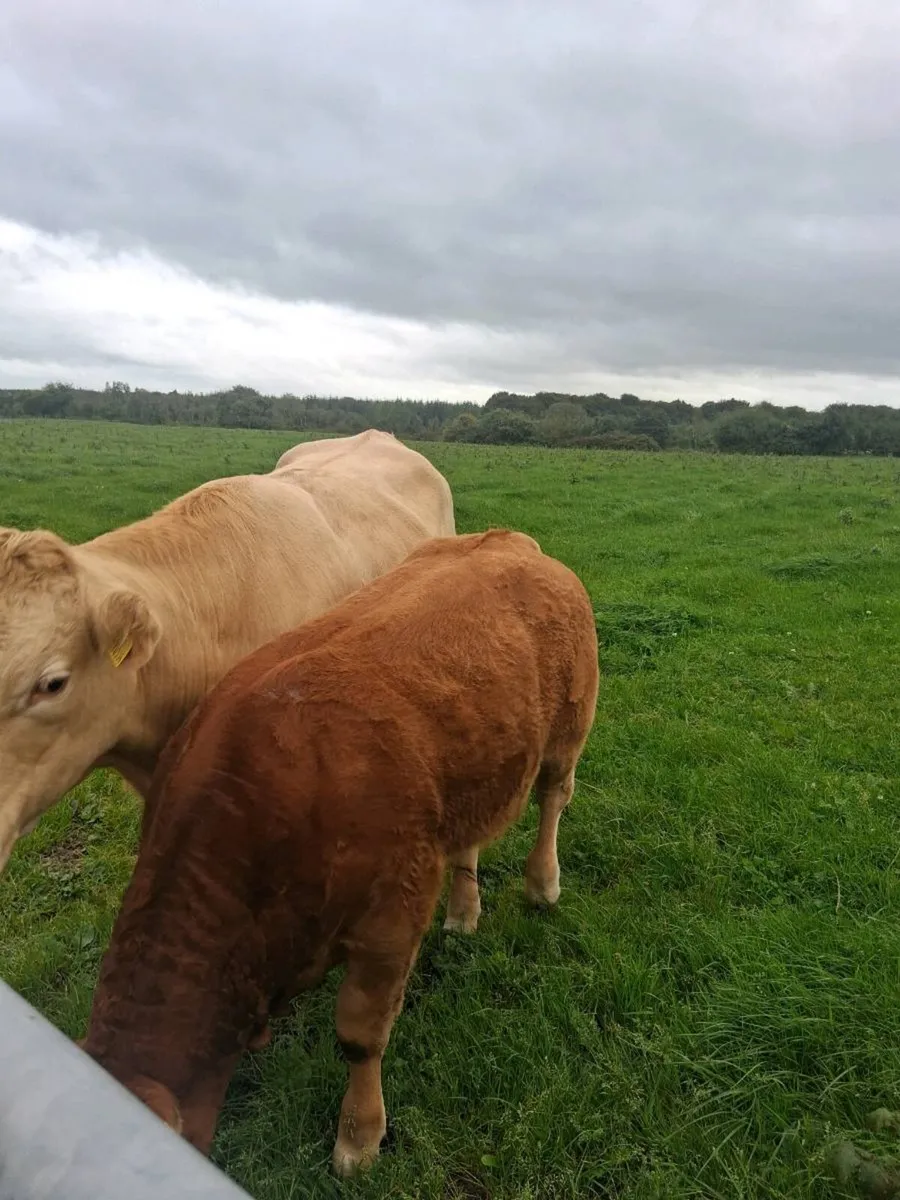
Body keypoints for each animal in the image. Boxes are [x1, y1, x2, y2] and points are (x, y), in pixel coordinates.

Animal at [79, 529, 599, 1178]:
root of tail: (507, 540)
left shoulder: (391, 915)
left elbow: (359, 1035)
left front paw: (359, 1138)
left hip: (570, 723)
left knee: (554, 797)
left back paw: (542, 884)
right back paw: (463, 913)